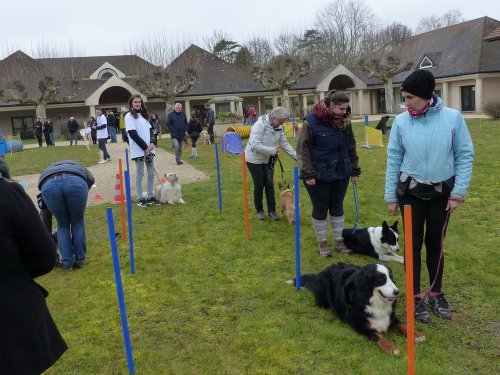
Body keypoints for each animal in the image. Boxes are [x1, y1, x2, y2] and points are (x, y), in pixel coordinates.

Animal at [290, 262, 426, 354]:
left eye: (391, 278)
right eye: (382, 279)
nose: (397, 292)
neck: (373, 300)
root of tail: (324, 270)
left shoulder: (390, 317)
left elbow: (403, 325)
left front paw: (417, 335)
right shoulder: (361, 326)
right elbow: (377, 335)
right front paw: (391, 348)